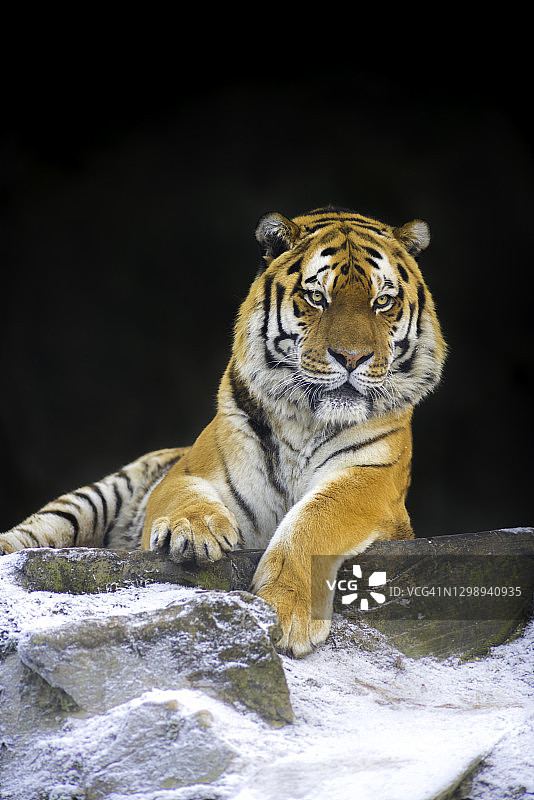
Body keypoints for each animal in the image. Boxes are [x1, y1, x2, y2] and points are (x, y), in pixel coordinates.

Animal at [0, 206, 446, 656]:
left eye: (382, 302)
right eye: (317, 298)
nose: (352, 358)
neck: (306, 419)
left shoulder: (373, 483)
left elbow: (316, 519)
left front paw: (286, 608)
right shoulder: (185, 472)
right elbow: (185, 494)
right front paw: (195, 531)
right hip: (94, 497)